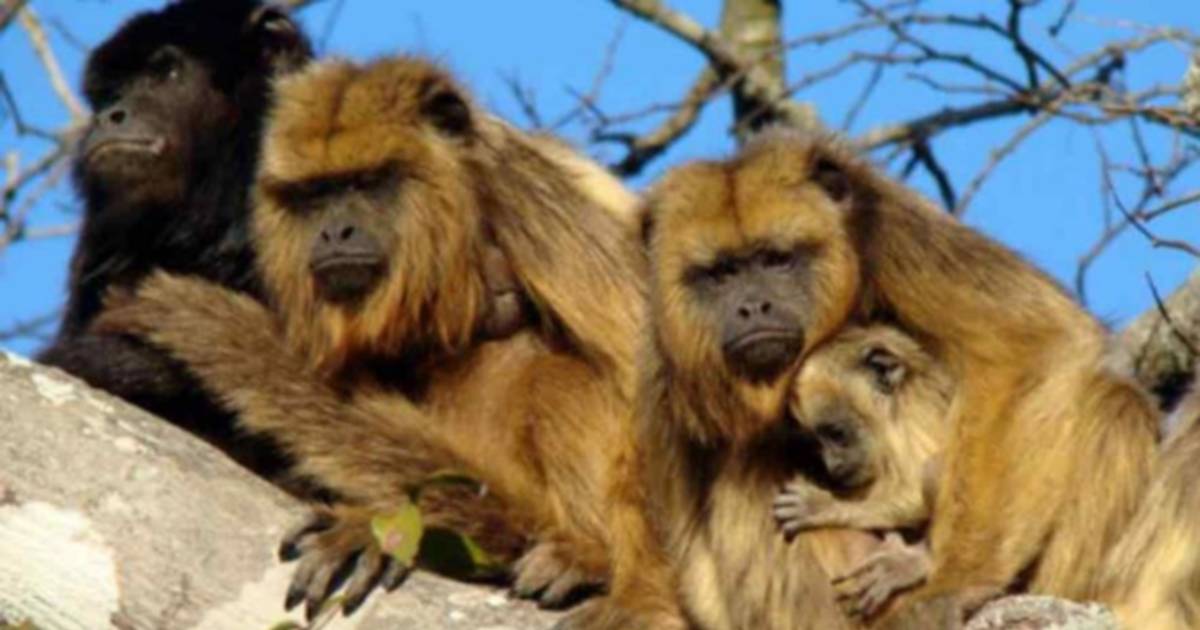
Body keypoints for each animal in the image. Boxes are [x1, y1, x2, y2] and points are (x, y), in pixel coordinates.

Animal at [94, 55, 662, 620]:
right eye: (318, 193)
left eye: (368, 183)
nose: (334, 232)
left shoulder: (526, 197)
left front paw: (639, 600)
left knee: (559, 380)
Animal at [771, 324, 953, 621]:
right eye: (817, 442)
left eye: (836, 434)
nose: (832, 464)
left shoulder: (914, 411)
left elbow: (918, 491)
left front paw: (825, 506)